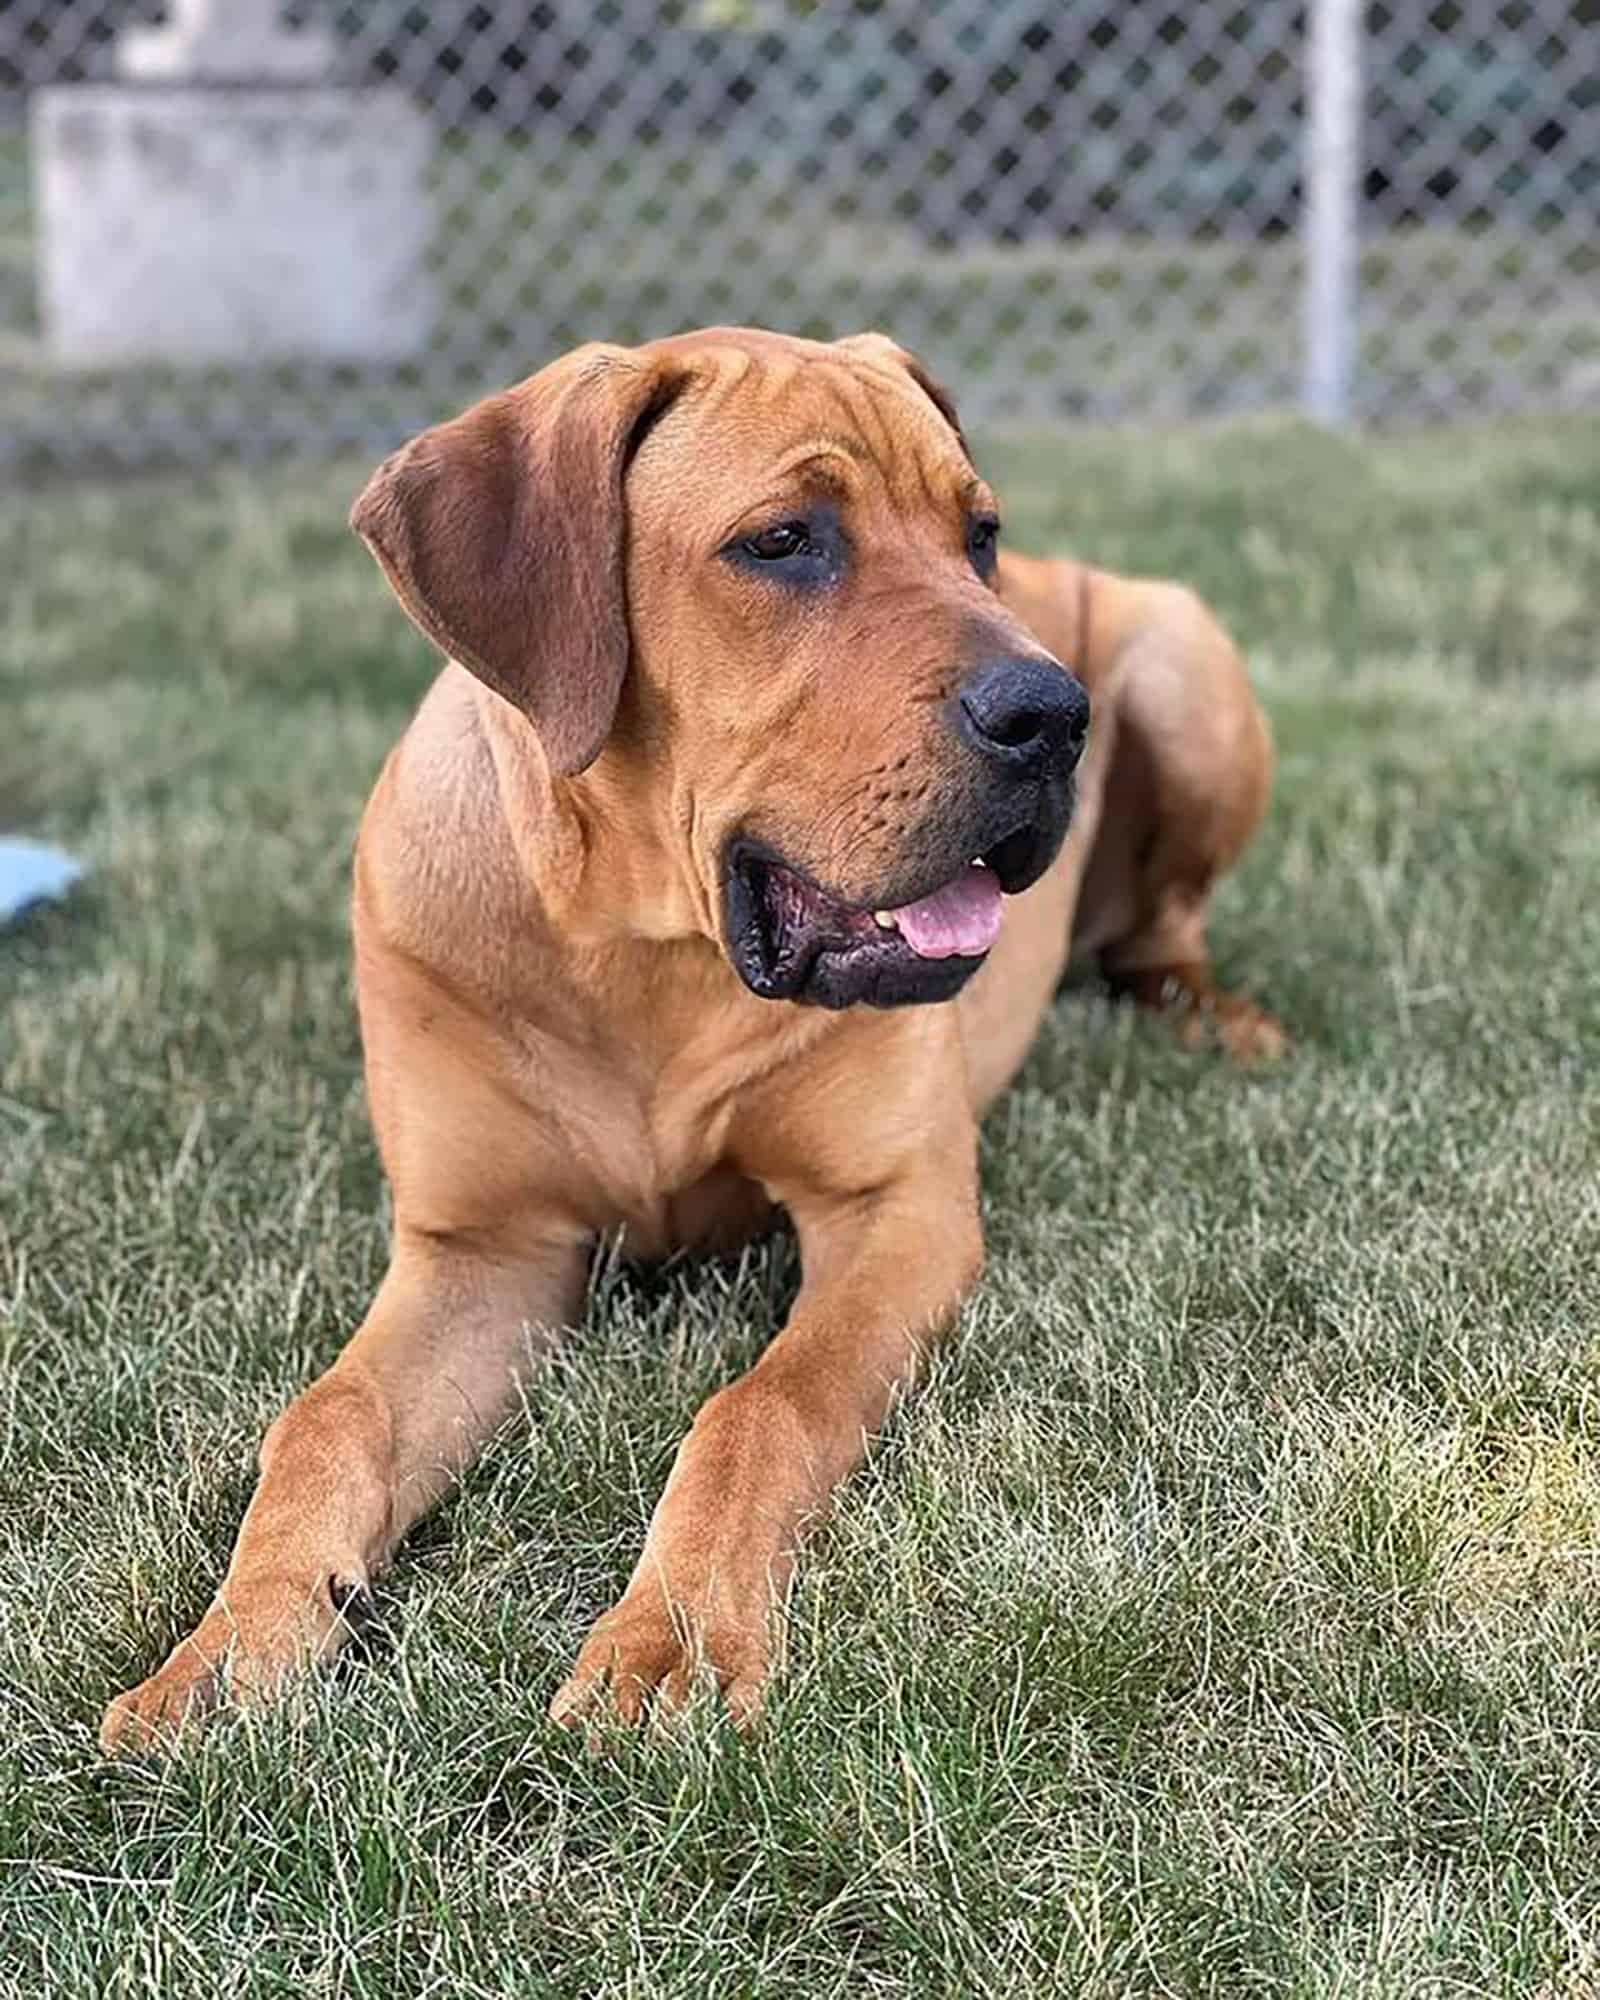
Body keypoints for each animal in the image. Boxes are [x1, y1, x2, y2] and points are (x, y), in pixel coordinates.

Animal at [100, 324, 1280, 1752]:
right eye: (782, 540)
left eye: (979, 534)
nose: (1053, 715)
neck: (645, 949)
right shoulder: (483, 1251)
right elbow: (324, 1416)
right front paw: (226, 1648)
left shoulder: (896, 1210)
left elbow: (759, 1403)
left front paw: (667, 1634)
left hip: (1180, 654)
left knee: (1163, 932)